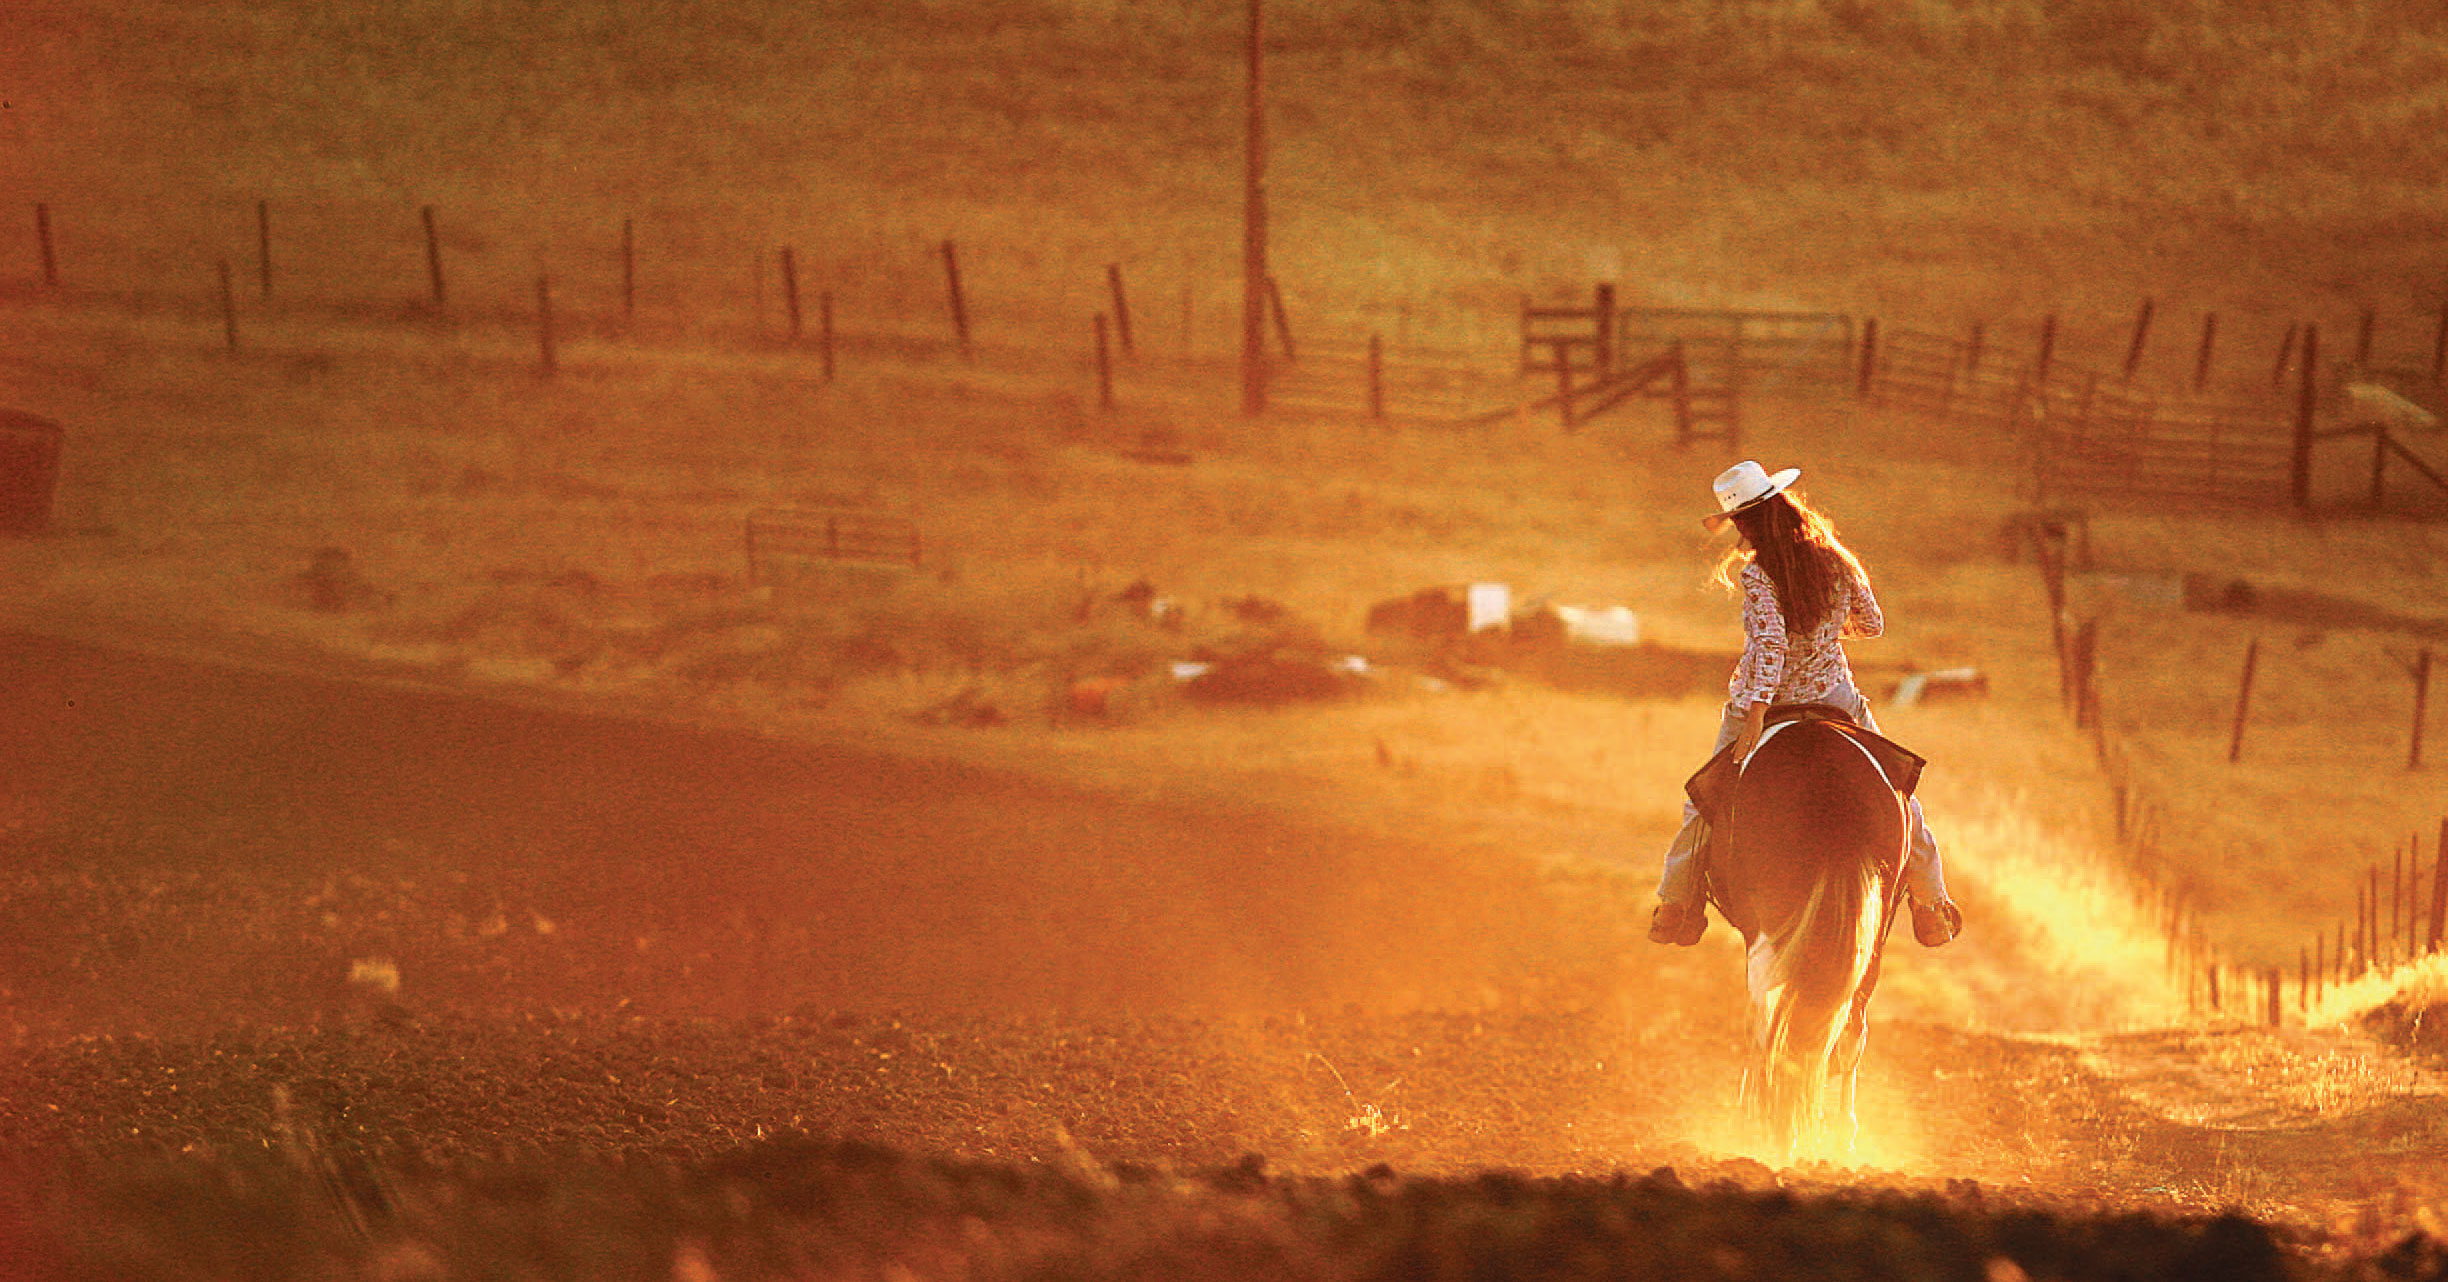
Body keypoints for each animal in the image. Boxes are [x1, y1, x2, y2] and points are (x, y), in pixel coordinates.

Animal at [1703, 709, 1909, 1159]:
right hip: (1869, 941)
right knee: (1849, 1029)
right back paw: (1835, 1138)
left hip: (1766, 930)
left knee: (1765, 1021)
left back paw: (1768, 1130)